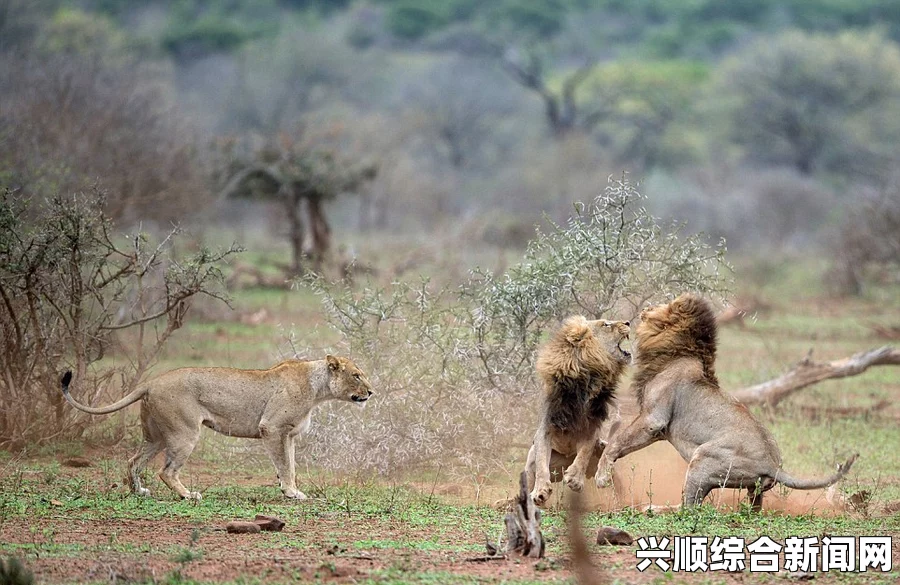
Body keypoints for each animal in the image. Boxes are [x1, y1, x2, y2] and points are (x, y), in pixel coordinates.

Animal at [61, 354, 372, 500]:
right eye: (357, 375)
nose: (371, 392)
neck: (318, 388)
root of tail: (152, 381)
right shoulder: (272, 428)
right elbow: (285, 466)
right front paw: (291, 492)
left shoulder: (290, 435)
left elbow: (290, 465)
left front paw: (291, 489)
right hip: (185, 434)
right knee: (166, 471)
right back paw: (188, 495)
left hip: (156, 436)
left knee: (133, 461)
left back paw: (140, 491)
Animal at [524, 314, 628, 506]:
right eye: (605, 324)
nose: (628, 322)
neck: (587, 377)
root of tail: (566, 459)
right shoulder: (546, 428)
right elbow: (542, 465)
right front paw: (540, 491)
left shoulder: (591, 428)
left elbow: (584, 454)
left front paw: (574, 479)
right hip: (536, 463)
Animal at [596, 294, 856, 508]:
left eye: (662, 305)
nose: (645, 308)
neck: (679, 350)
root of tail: (773, 465)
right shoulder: (659, 429)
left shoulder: (654, 419)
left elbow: (616, 443)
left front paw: (601, 476)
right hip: (751, 489)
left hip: (702, 459)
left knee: (690, 509)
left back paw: (652, 508)